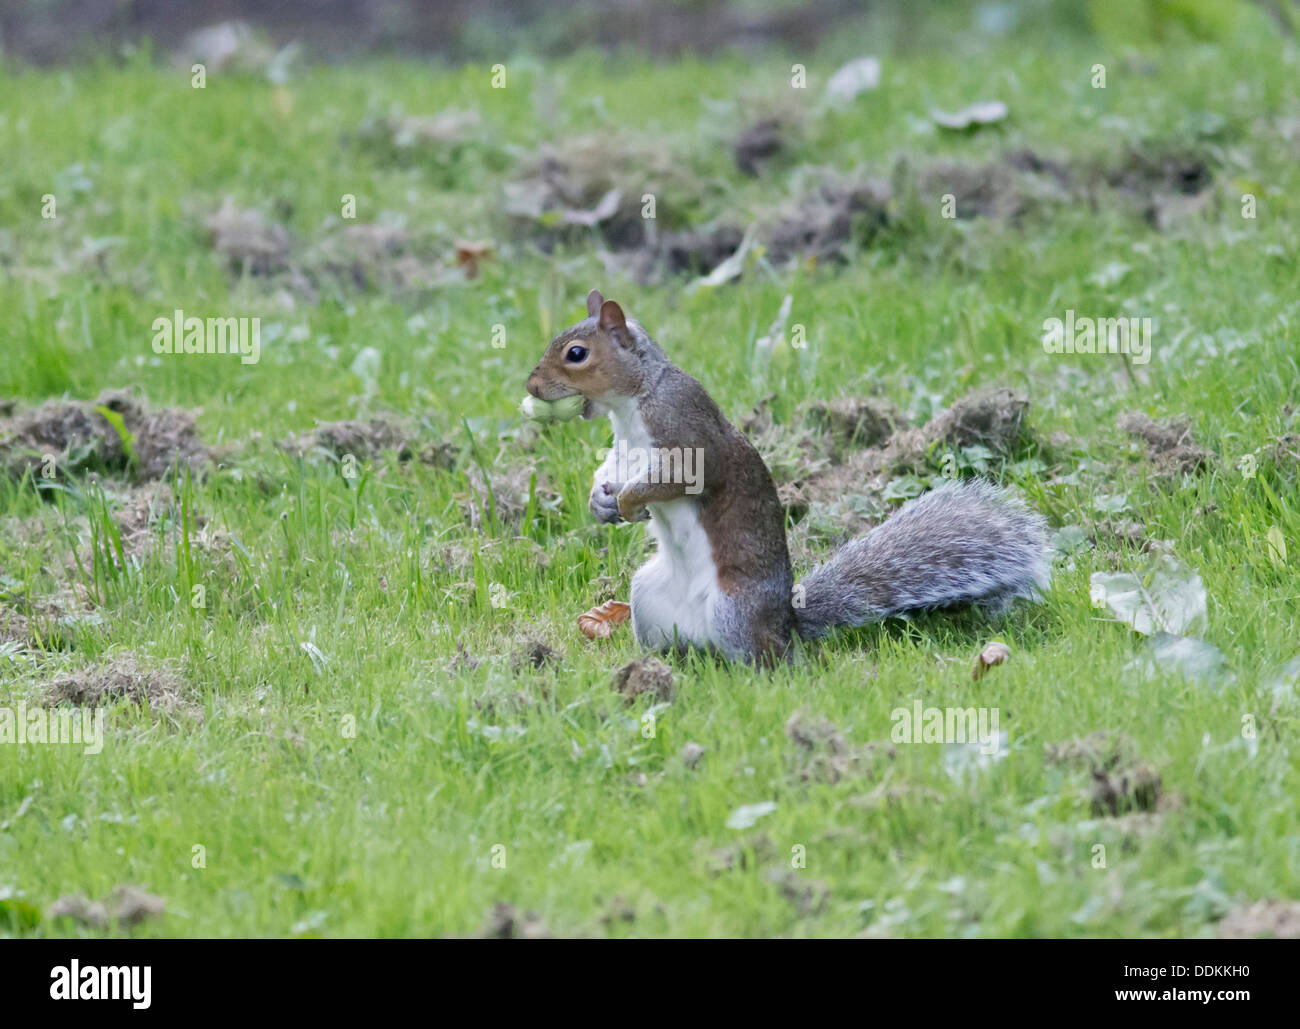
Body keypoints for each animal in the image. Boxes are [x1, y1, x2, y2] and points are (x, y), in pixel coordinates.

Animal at [526, 289, 1051, 665]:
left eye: (576, 354)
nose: (530, 385)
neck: (634, 399)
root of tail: (785, 625)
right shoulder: (623, 451)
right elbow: (609, 470)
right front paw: (600, 502)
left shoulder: (686, 434)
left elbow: (671, 479)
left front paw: (629, 503)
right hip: (650, 599)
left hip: (733, 612)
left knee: (766, 662)